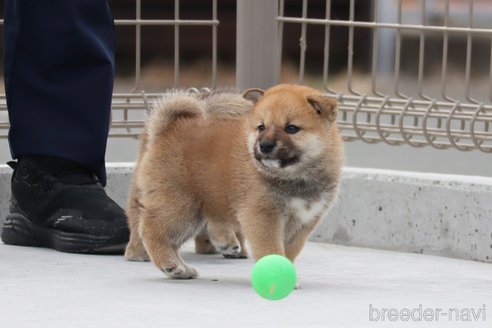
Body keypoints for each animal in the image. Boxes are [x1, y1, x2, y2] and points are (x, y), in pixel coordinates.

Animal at [125, 84, 344, 280]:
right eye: (261, 127)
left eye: (291, 128)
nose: (264, 145)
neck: (294, 177)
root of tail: (166, 130)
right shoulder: (263, 217)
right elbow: (271, 251)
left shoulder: (302, 225)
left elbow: (288, 254)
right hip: (181, 208)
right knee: (151, 230)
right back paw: (170, 264)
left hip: (193, 214)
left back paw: (180, 268)